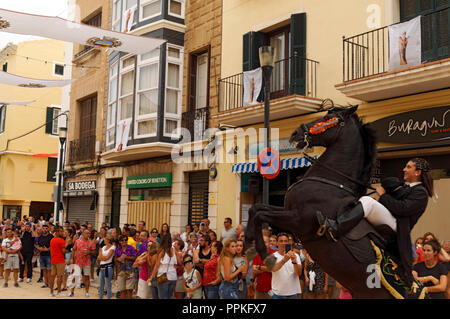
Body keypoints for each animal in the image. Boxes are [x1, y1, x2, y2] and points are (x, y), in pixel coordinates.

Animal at [244, 106, 396, 298]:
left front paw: (266, 255)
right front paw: (248, 245)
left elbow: (260, 214)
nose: (295, 133)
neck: (331, 183)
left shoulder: (298, 220)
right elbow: (255, 209)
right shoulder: (288, 210)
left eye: (328, 117)